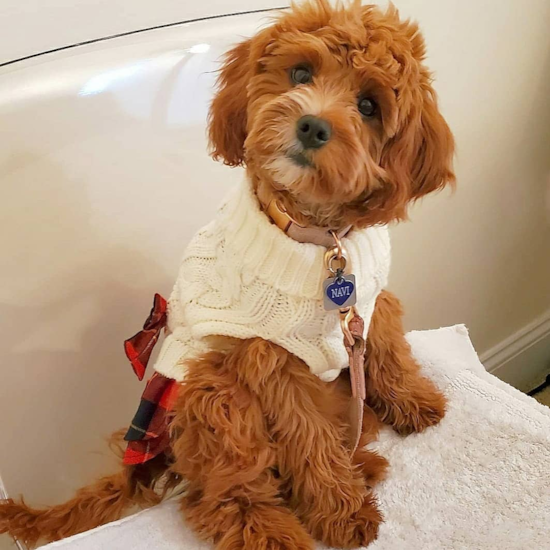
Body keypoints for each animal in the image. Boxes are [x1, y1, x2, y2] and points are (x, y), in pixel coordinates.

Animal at [0, 0, 454, 548]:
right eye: (300, 73)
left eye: (368, 106)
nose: (312, 126)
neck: (319, 242)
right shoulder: (270, 360)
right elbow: (310, 441)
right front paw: (341, 513)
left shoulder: (366, 302)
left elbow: (389, 351)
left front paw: (417, 403)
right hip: (211, 390)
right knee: (219, 495)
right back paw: (274, 530)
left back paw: (363, 464)